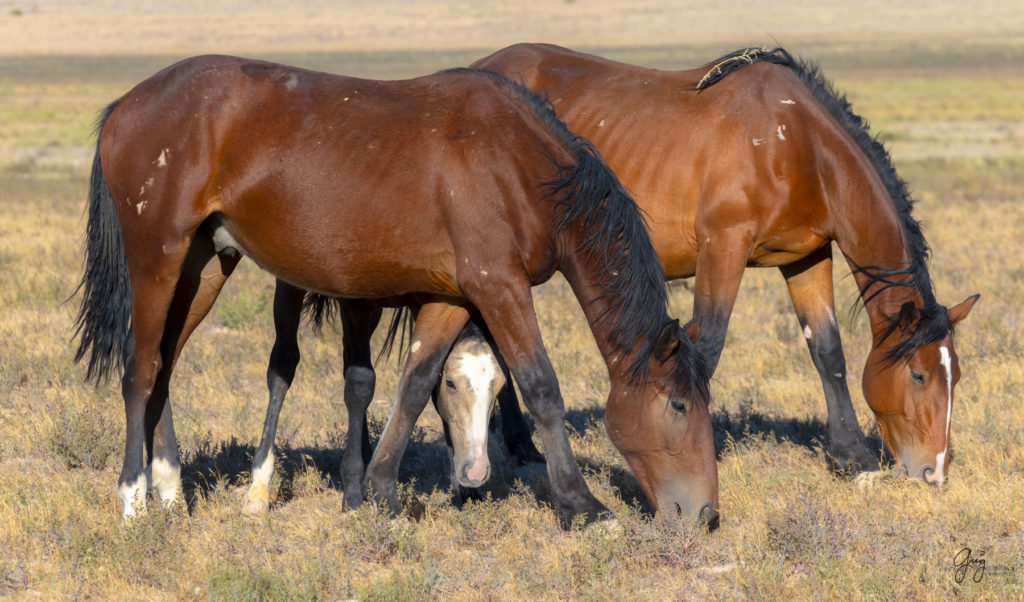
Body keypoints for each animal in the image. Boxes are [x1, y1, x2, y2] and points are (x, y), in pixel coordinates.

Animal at [72, 56, 716, 528]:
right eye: (679, 407)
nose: (706, 514)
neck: (519, 166)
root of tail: (126, 105)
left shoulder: (453, 296)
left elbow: (415, 383)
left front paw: (377, 491)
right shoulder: (499, 286)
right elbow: (541, 387)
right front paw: (580, 505)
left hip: (204, 265)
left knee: (166, 364)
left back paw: (171, 489)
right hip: (156, 259)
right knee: (141, 369)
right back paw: (134, 500)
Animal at [475, 43, 978, 485]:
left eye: (956, 376)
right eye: (918, 374)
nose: (934, 472)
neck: (796, 142)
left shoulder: (807, 257)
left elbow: (828, 351)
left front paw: (852, 456)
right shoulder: (723, 247)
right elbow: (709, 346)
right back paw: (522, 448)